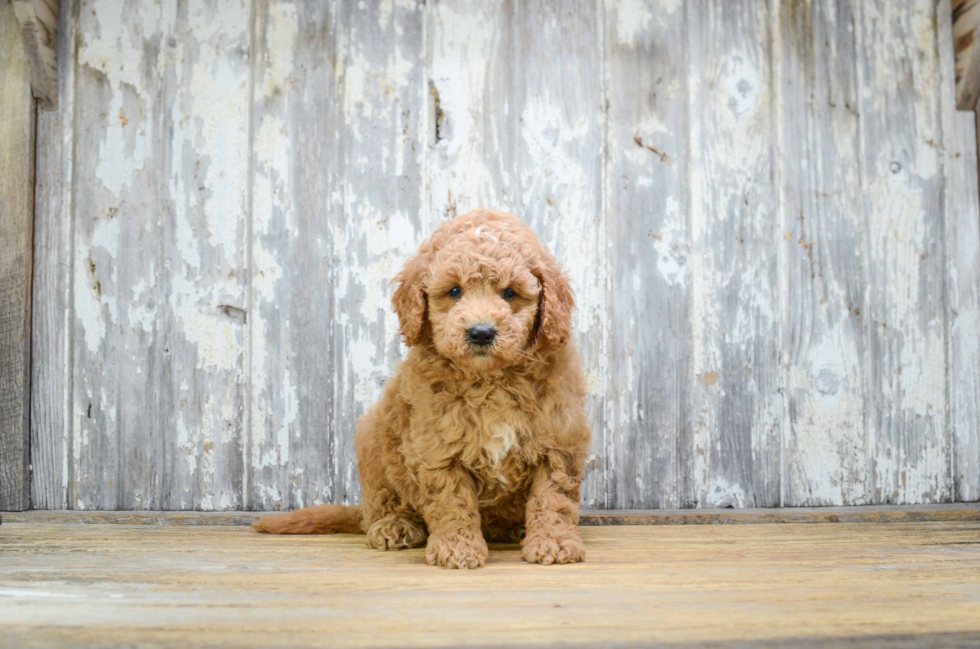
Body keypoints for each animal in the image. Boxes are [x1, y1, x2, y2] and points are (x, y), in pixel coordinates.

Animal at [253, 208, 588, 568]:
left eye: (510, 293)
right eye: (454, 291)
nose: (481, 333)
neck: (488, 380)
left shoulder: (559, 441)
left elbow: (553, 498)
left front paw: (553, 542)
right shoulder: (439, 448)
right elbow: (452, 501)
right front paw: (457, 549)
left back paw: (513, 529)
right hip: (373, 440)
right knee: (381, 504)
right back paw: (394, 525)